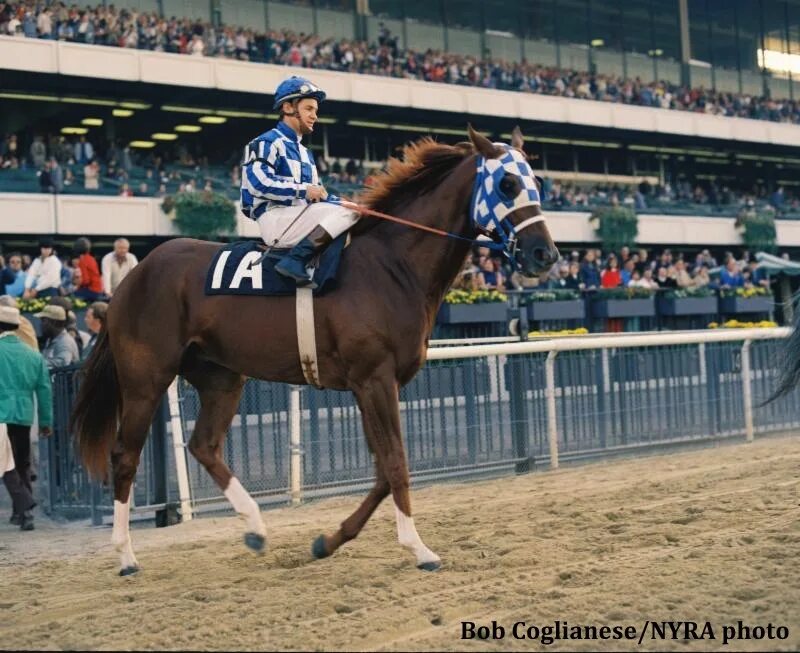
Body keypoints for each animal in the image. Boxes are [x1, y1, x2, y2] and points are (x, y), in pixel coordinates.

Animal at [70, 125, 556, 572]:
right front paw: (419, 549)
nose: (545, 254)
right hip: (145, 379)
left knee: (203, 445)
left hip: (221, 377)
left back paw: (256, 528)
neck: (392, 265)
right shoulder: (374, 378)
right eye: (507, 184)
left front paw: (328, 541)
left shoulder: (369, 385)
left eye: (536, 182)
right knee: (125, 456)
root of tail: (136, 274)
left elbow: (382, 469)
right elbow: (396, 463)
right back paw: (126, 555)